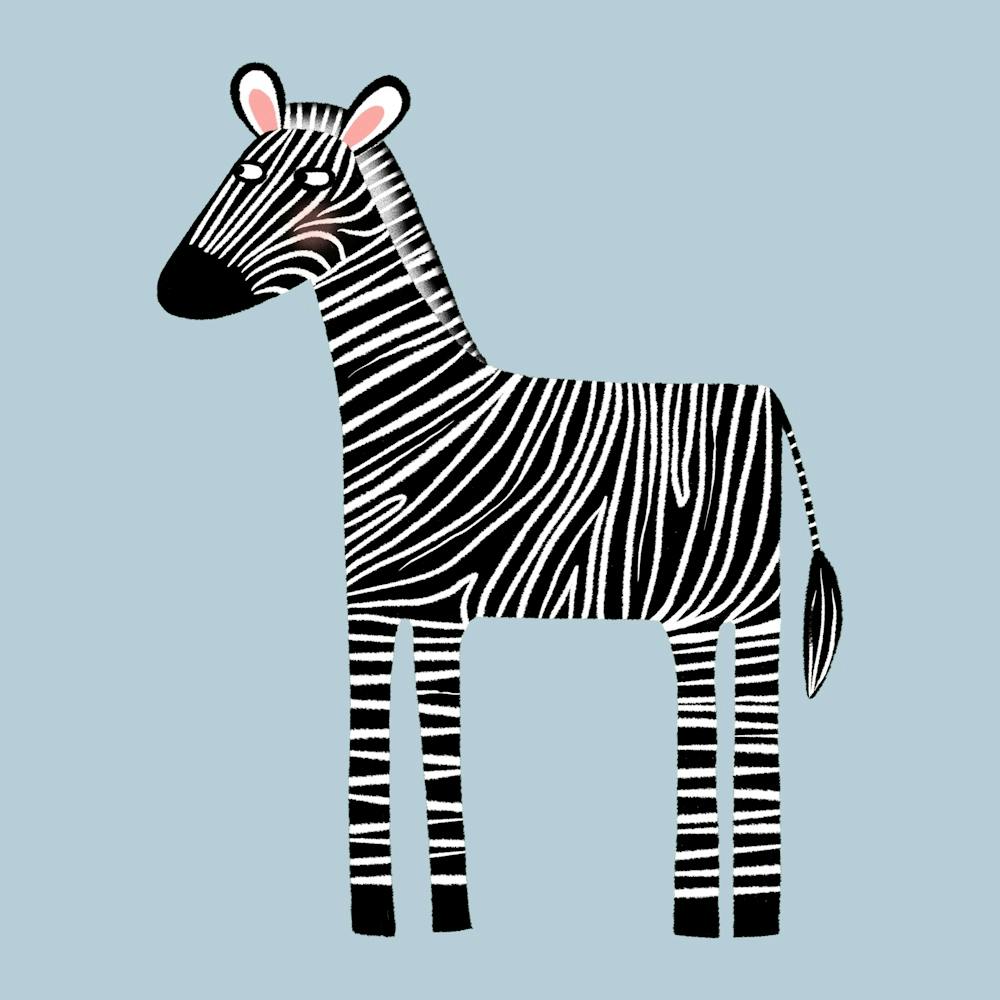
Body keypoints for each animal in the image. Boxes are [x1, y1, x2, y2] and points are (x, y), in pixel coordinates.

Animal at [158, 63, 843, 939]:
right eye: (238, 173)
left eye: (314, 187)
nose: (178, 291)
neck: (419, 406)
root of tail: (773, 401)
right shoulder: (386, 608)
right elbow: (380, 751)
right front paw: (396, 917)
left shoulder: (433, 601)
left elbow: (428, 747)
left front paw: (435, 918)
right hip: (697, 611)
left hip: (742, 604)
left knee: (753, 742)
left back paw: (740, 918)